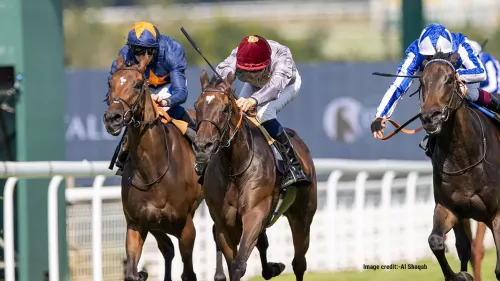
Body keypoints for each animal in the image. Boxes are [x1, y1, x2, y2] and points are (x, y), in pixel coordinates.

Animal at [103, 54, 203, 280]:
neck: (153, 170)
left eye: (138, 84)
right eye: (110, 83)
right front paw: (141, 273)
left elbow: (189, 273)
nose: (112, 118)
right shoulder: (136, 223)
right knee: (167, 249)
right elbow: (131, 272)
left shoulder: (186, 226)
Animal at [191, 68, 316, 280]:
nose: (202, 146)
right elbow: (232, 262)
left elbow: (239, 265)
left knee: (299, 263)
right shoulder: (224, 224)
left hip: (303, 215)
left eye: (225, 108)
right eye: (196, 106)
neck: (235, 168)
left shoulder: (255, 213)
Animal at [420, 50, 500, 280]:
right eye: (421, 81)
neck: (465, 157)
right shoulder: (449, 209)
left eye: (448, 79)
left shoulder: (496, 214)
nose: (430, 117)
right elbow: (436, 242)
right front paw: (458, 275)